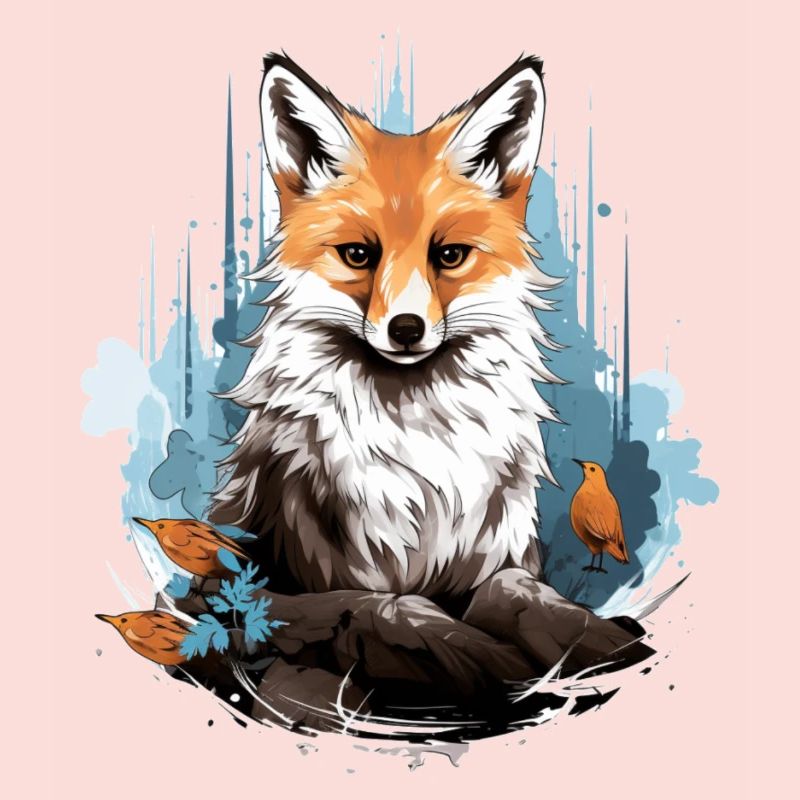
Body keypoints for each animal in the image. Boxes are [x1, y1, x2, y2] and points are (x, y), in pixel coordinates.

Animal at [209, 53, 562, 602]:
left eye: (449, 255)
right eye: (358, 254)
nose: (406, 329)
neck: (419, 457)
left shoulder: (501, 551)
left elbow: (511, 586)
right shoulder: (336, 565)